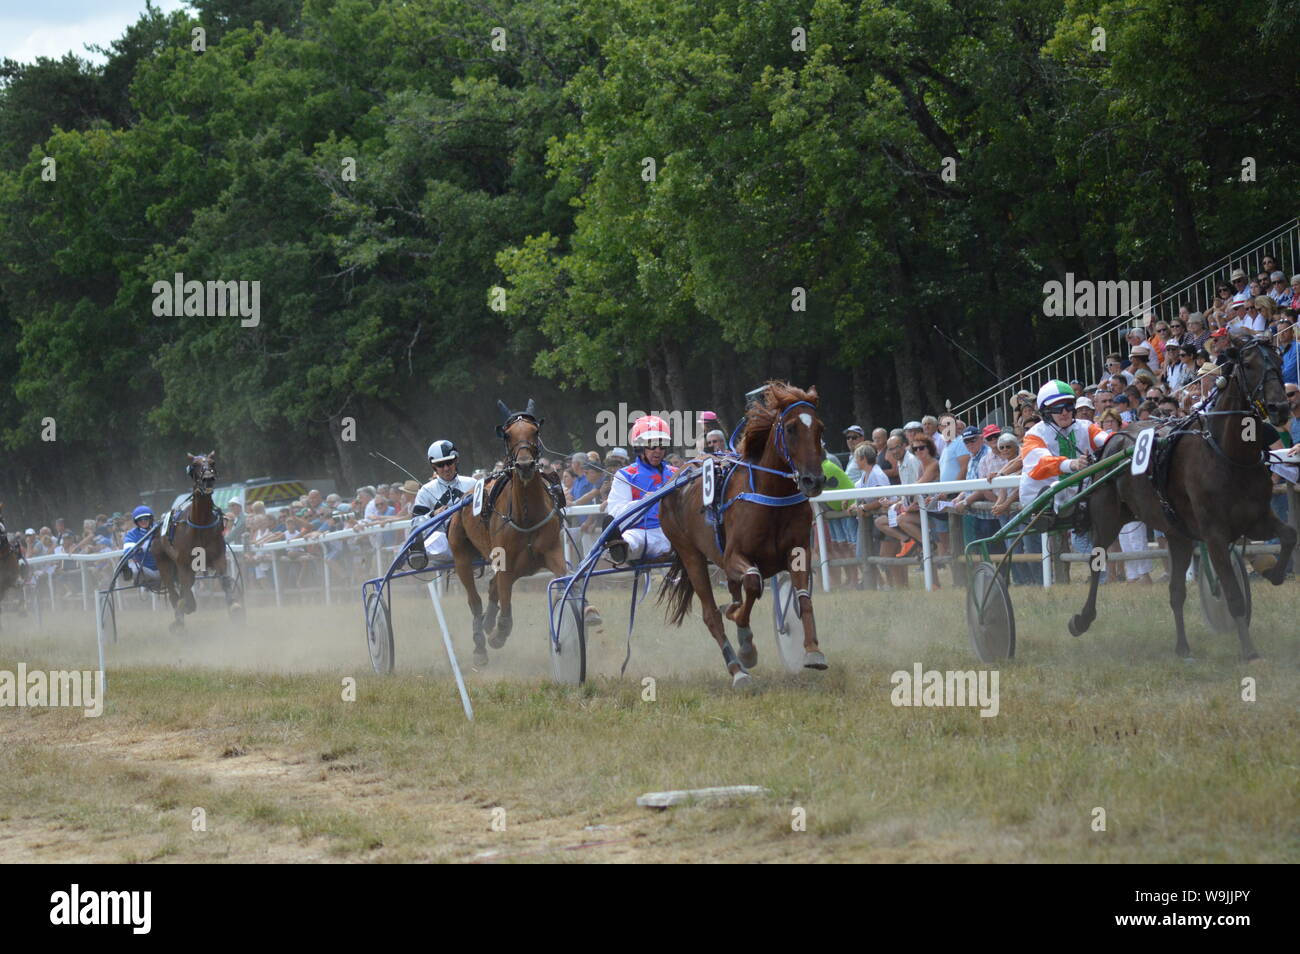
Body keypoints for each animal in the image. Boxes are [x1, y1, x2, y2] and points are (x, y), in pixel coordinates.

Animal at [153, 452, 241, 632]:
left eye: (212, 462)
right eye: (194, 464)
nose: (208, 478)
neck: (200, 524)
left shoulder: (218, 557)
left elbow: (225, 581)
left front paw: (234, 606)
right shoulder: (183, 564)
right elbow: (184, 590)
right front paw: (182, 613)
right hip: (163, 562)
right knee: (173, 590)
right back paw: (180, 614)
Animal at [448, 400, 574, 667]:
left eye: (535, 431)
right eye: (507, 434)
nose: (525, 465)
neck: (526, 515)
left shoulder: (552, 552)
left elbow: (566, 578)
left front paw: (587, 613)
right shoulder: (505, 564)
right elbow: (505, 612)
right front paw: (497, 634)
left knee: (492, 588)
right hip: (461, 556)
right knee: (474, 600)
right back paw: (480, 645)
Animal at [658, 381, 828, 688]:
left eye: (820, 428)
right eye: (791, 428)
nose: (814, 480)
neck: (771, 496)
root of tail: (677, 476)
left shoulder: (799, 550)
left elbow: (802, 596)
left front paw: (812, 650)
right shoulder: (734, 556)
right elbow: (752, 582)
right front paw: (746, 647)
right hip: (691, 555)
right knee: (711, 614)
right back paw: (737, 669)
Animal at [1068, 334, 1295, 660]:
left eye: (1278, 361)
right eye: (1249, 364)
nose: (1280, 408)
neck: (1228, 454)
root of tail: (1113, 438)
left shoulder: (1256, 518)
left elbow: (1288, 535)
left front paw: (1272, 571)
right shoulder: (1214, 534)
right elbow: (1233, 595)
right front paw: (1249, 650)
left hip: (1177, 533)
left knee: (1176, 592)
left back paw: (1183, 647)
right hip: (1108, 518)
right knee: (1096, 561)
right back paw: (1082, 619)